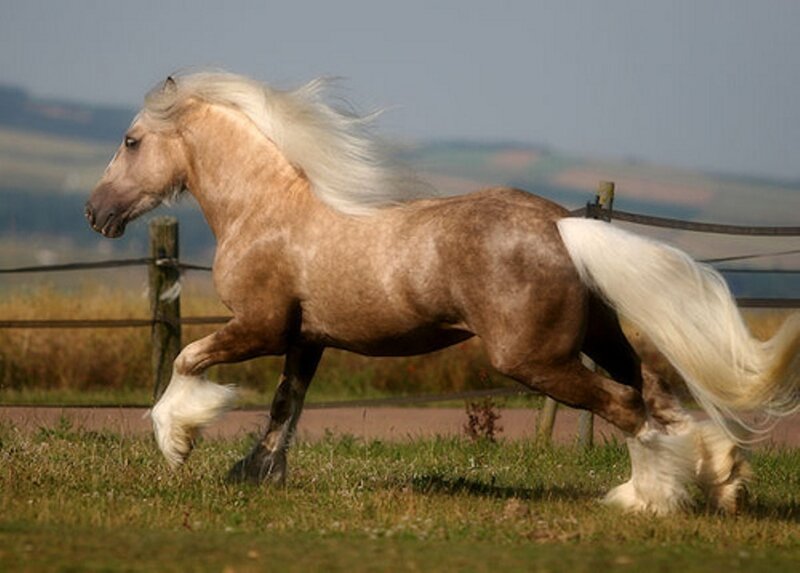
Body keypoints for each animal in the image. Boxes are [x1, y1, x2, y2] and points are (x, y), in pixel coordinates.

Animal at [85, 72, 799, 515]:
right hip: (601, 337)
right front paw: (256, 475)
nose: (96, 213)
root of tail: (560, 226)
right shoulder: (307, 340)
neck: (265, 209)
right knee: (658, 393)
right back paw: (722, 483)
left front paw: (177, 442)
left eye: (131, 140)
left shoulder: (260, 326)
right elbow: (286, 406)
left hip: (533, 359)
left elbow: (187, 360)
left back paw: (646, 501)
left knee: (628, 406)